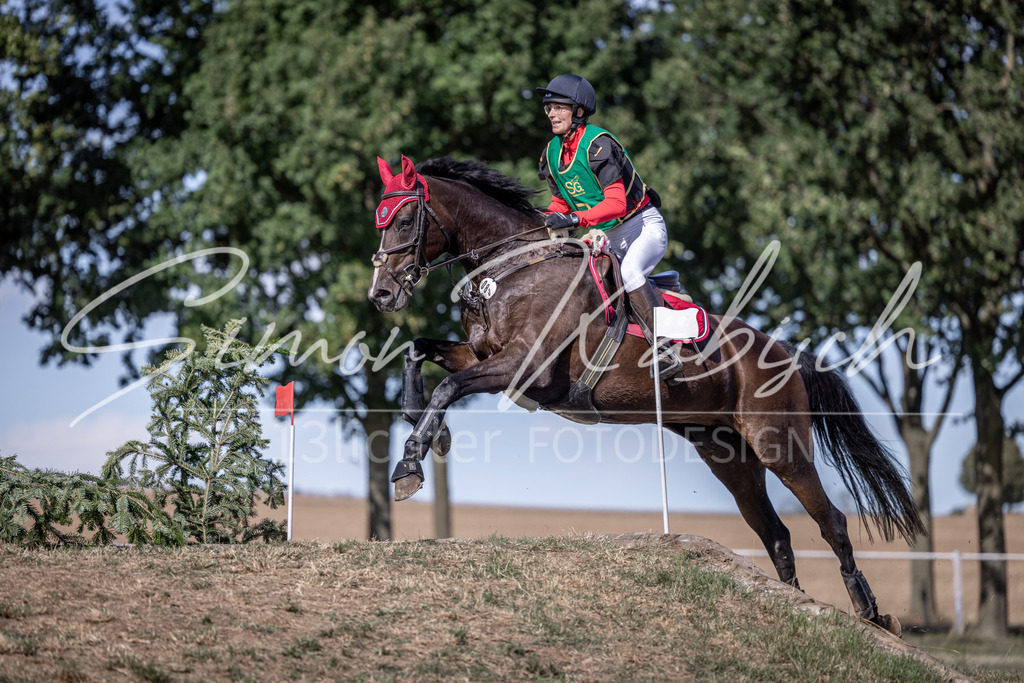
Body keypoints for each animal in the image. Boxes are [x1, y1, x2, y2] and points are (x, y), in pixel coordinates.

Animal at [367, 154, 923, 635]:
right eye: (380, 221)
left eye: (404, 219)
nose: (381, 294)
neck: (514, 268)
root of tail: (785, 353)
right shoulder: (481, 356)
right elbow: (419, 353)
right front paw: (425, 430)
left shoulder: (524, 365)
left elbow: (447, 384)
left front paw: (410, 463)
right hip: (728, 456)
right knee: (775, 533)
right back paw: (795, 603)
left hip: (780, 444)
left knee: (831, 521)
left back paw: (870, 612)